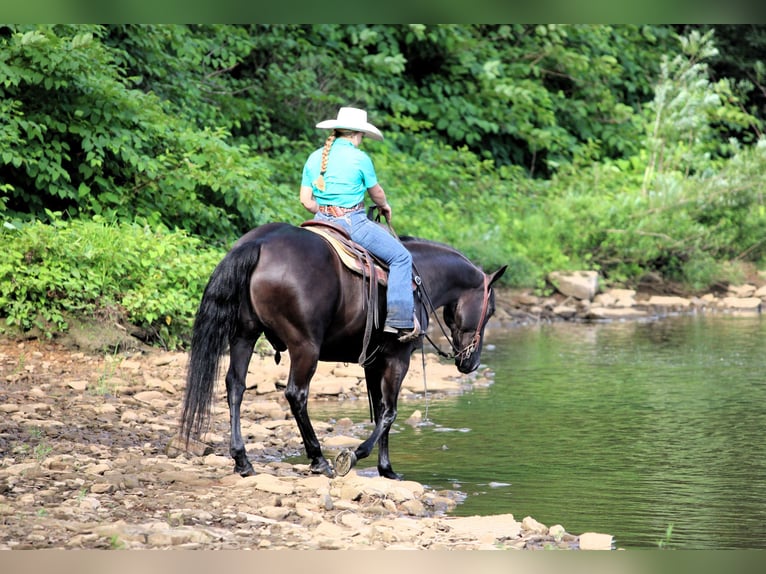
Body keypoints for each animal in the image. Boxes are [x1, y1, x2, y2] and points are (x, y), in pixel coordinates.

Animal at [179, 221, 506, 479]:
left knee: (236, 386)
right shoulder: (398, 359)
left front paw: (386, 468)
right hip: (305, 346)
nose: (471, 364)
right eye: (490, 311)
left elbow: (380, 411)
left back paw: (243, 461)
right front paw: (356, 455)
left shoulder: (374, 362)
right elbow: (390, 412)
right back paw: (318, 459)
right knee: (296, 394)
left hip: (244, 335)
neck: (421, 277)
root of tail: (259, 242)